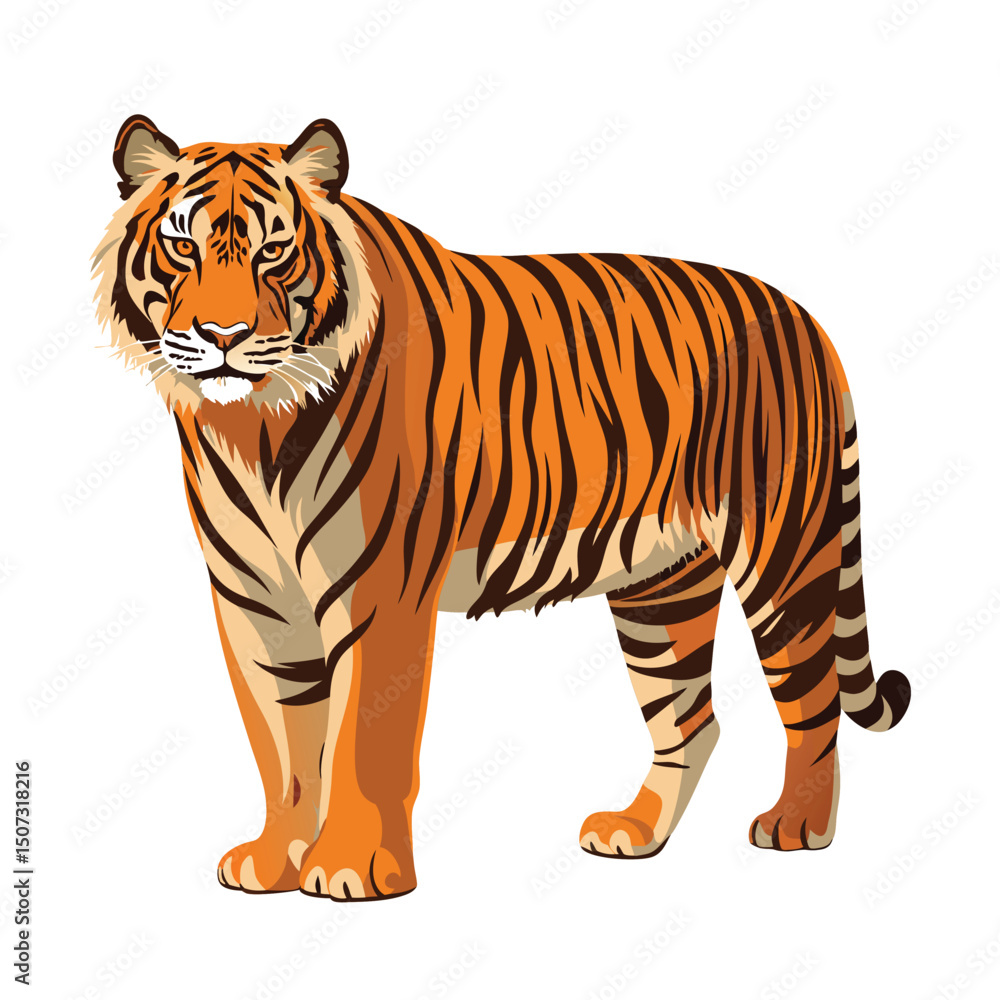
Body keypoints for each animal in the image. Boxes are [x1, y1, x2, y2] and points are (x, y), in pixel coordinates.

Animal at [93, 115, 911, 901]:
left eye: (273, 253)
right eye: (181, 246)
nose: (223, 337)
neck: (254, 429)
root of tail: (807, 320)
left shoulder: (377, 594)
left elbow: (361, 740)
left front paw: (353, 869)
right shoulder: (255, 604)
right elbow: (285, 747)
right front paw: (275, 860)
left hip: (781, 555)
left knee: (814, 700)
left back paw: (797, 825)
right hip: (660, 587)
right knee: (692, 722)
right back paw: (637, 830)